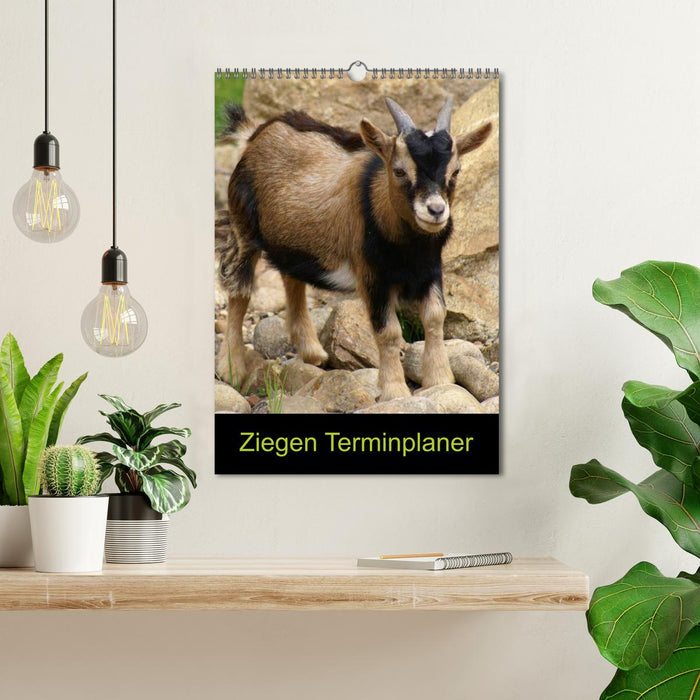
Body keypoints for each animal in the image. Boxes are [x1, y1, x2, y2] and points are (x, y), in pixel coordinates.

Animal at [216, 97, 492, 401]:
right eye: (399, 171)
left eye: (455, 171)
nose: (435, 210)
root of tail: (255, 134)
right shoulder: (373, 275)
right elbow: (388, 331)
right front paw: (394, 390)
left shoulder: (431, 269)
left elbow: (434, 317)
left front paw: (440, 379)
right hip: (243, 227)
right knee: (239, 291)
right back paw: (232, 369)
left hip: (294, 241)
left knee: (292, 279)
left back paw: (312, 352)